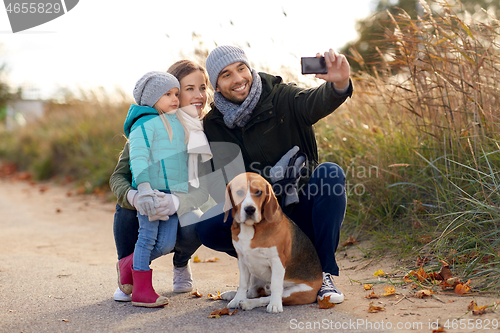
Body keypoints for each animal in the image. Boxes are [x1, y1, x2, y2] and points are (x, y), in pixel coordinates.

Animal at [223, 171, 324, 312]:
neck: (251, 228)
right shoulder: (241, 259)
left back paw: (250, 303)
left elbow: (276, 285)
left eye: (258, 192)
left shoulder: (277, 260)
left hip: (296, 291)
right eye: (239, 192)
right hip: (254, 274)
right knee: (252, 291)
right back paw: (233, 295)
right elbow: (242, 284)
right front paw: (237, 299)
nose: (250, 209)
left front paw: (275, 305)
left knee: (267, 297)